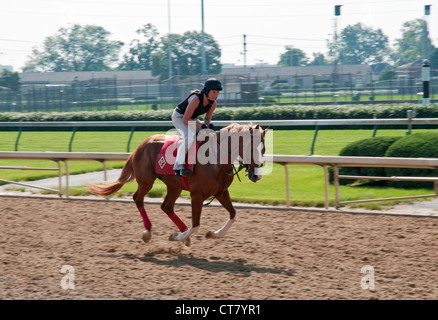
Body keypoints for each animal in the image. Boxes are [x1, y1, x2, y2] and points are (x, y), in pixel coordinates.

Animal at [86, 122, 266, 245]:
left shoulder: (221, 192)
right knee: (138, 198)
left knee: (166, 206)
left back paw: (181, 232)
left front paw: (211, 233)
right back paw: (148, 231)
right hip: (146, 181)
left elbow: (233, 215)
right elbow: (196, 224)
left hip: (174, 186)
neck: (216, 160)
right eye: (253, 148)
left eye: (263, 150)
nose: (257, 176)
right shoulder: (196, 195)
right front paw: (177, 236)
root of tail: (141, 145)